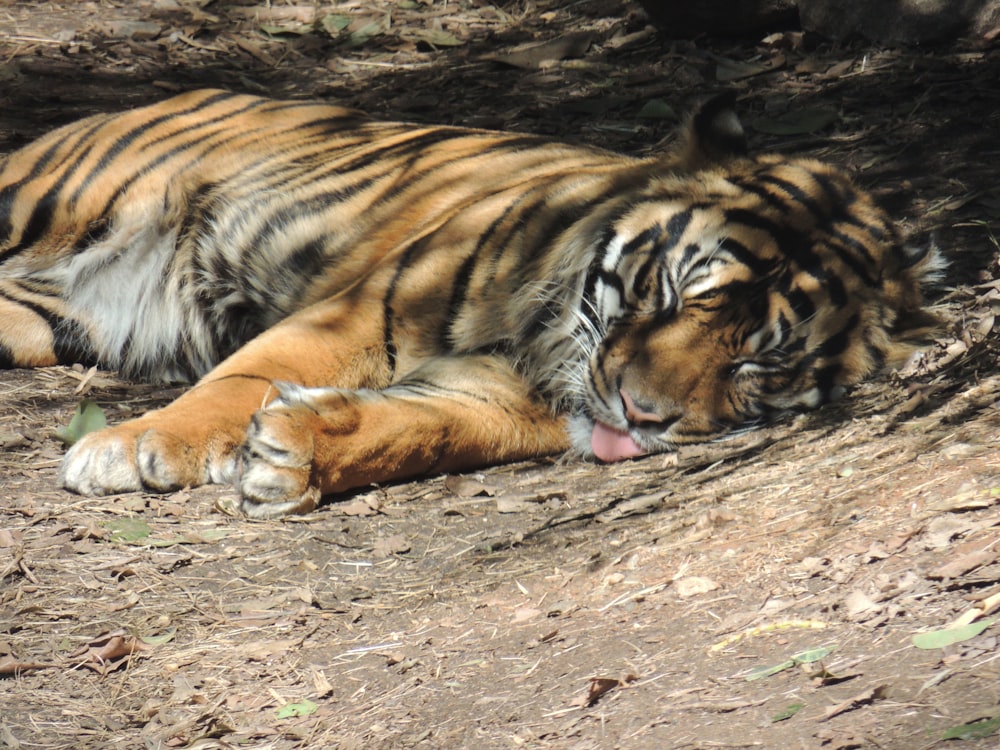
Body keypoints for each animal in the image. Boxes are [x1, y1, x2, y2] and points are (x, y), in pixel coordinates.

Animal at [0, 91, 936, 520]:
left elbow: (420, 431)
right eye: (671, 294)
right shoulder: (357, 313)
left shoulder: (496, 397)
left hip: (48, 323)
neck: (542, 340)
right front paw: (135, 446)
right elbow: (240, 379)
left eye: (755, 362)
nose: (642, 416)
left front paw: (294, 457)